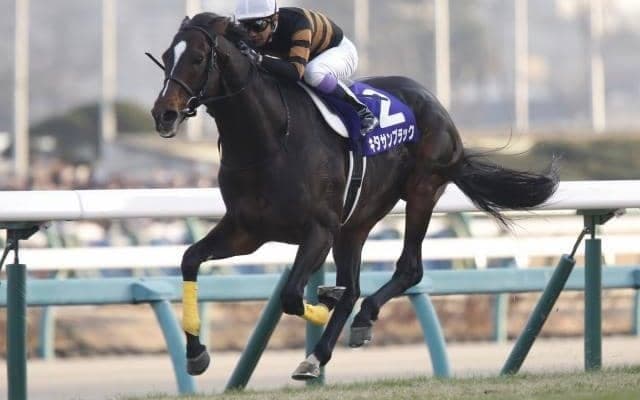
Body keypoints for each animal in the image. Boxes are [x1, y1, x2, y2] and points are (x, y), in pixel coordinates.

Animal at [150, 12, 558, 380]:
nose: (163, 113)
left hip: (422, 190)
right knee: (356, 282)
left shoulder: (318, 230)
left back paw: (351, 325)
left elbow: (293, 296)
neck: (269, 139)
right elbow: (190, 260)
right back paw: (324, 343)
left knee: (408, 268)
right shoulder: (246, 230)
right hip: (356, 223)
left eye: (197, 58)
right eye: (167, 56)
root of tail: (436, 105)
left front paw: (323, 305)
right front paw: (196, 354)